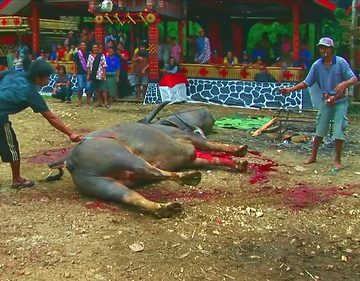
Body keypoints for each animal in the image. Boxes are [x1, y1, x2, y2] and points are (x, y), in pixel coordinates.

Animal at [48, 106, 248, 217]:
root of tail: (69, 160)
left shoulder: (193, 156)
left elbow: (213, 159)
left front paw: (238, 164)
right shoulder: (188, 140)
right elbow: (211, 146)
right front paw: (240, 151)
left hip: (105, 185)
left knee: (130, 196)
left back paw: (166, 208)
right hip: (125, 156)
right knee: (153, 171)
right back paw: (189, 178)